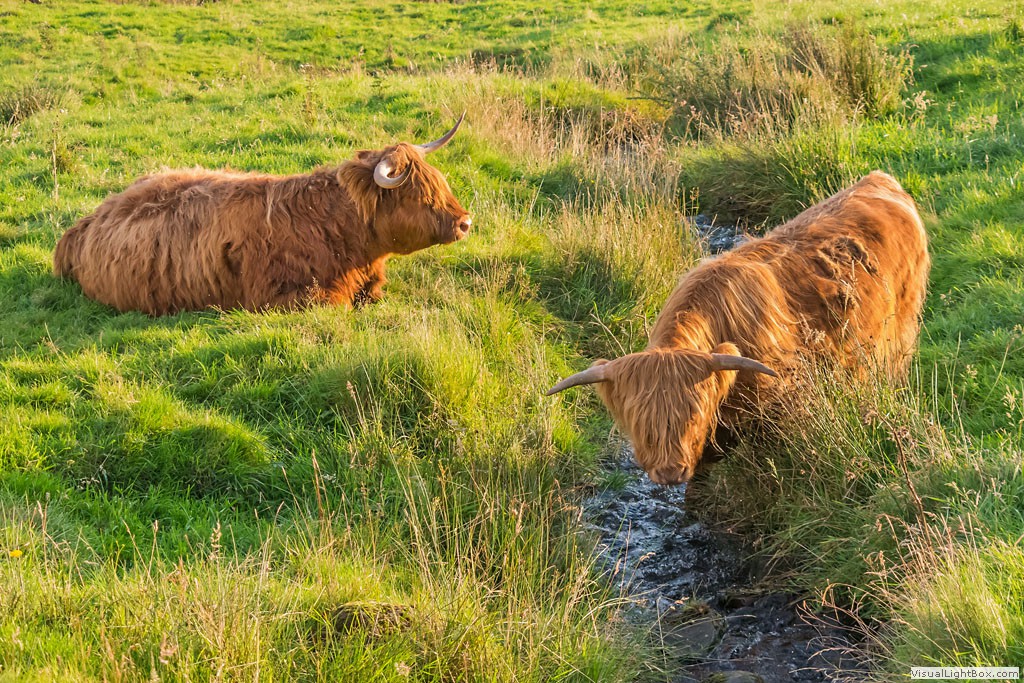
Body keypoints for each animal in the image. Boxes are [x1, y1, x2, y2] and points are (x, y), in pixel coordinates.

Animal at [53, 115, 472, 315]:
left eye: (440, 183)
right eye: (418, 194)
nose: (464, 222)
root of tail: (84, 224)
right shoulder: (277, 296)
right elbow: (336, 303)